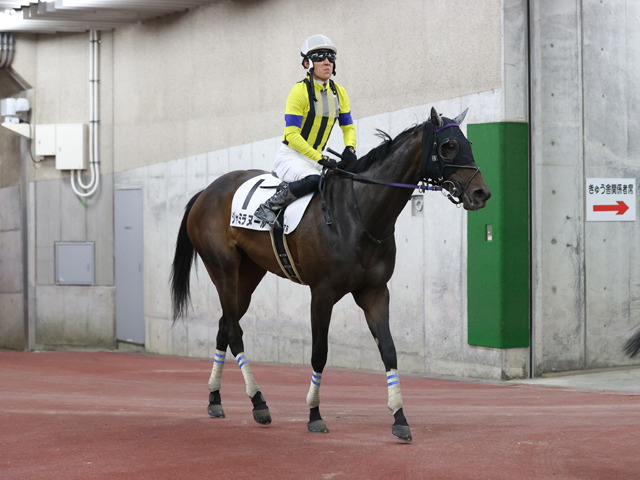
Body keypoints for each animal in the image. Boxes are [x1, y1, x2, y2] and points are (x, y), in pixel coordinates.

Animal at [170, 107, 491, 442]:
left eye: (467, 142)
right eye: (449, 146)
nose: (481, 192)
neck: (357, 214)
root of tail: (206, 191)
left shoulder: (375, 292)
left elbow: (389, 351)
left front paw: (400, 418)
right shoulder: (322, 293)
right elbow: (319, 352)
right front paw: (314, 414)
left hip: (247, 276)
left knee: (224, 326)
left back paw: (215, 398)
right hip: (222, 270)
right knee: (234, 332)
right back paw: (258, 402)